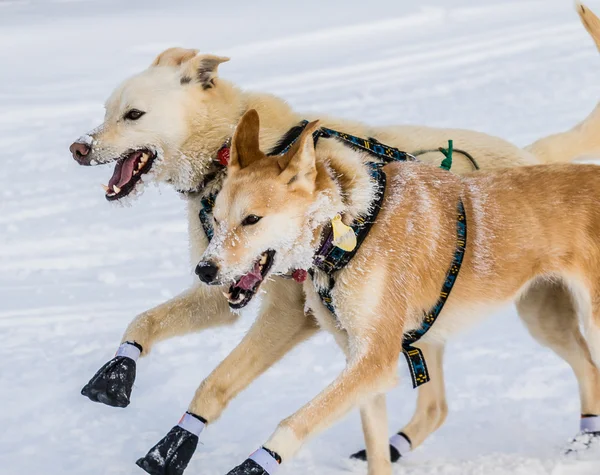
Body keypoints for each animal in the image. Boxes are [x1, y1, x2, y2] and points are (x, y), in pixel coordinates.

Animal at [205, 109, 600, 475]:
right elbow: (376, 448)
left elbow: (294, 422)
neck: (351, 228)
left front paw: (252, 465)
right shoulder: (359, 359)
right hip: (541, 318)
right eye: (216, 220)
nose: (203, 270)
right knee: (587, 369)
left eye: (251, 219)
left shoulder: (376, 361)